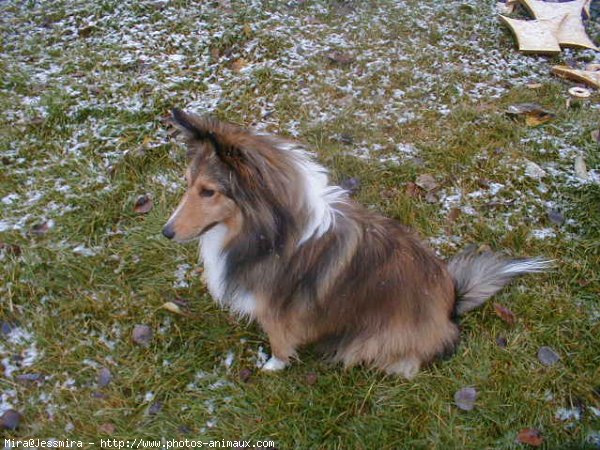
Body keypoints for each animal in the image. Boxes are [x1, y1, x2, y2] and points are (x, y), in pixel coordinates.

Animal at [162, 110, 552, 378]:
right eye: (189, 182)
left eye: (209, 191)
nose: (165, 232)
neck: (269, 230)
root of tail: (451, 306)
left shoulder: (279, 311)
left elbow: (279, 341)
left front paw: (272, 366)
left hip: (373, 339)